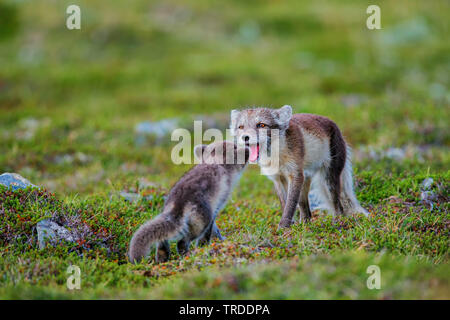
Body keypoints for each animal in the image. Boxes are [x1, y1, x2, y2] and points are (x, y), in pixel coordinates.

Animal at [230, 105, 368, 228]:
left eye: (261, 125)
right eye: (241, 127)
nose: (245, 137)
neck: (277, 157)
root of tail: (334, 124)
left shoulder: (295, 175)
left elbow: (290, 204)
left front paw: (283, 226)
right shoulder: (277, 179)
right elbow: (284, 203)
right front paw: (291, 224)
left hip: (329, 179)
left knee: (338, 205)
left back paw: (338, 221)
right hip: (305, 181)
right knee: (306, 209)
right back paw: (305, 225)